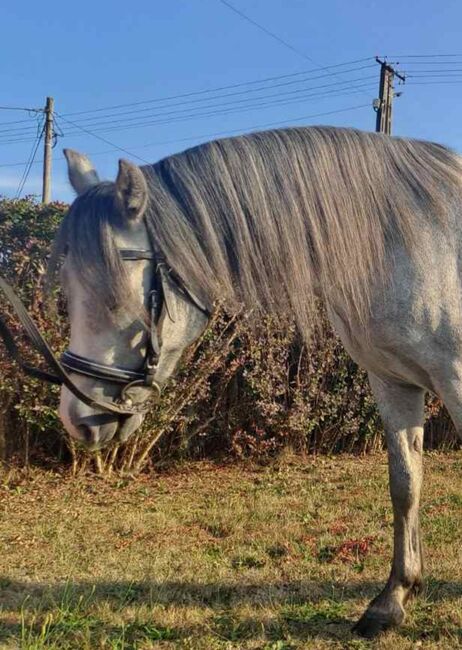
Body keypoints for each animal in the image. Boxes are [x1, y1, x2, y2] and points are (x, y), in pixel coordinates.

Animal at [49, 124, 462, 636]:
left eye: (117, 297)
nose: (77, 416)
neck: (415, 243)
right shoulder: (392, 383)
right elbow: (405, 486)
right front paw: (391, 602)